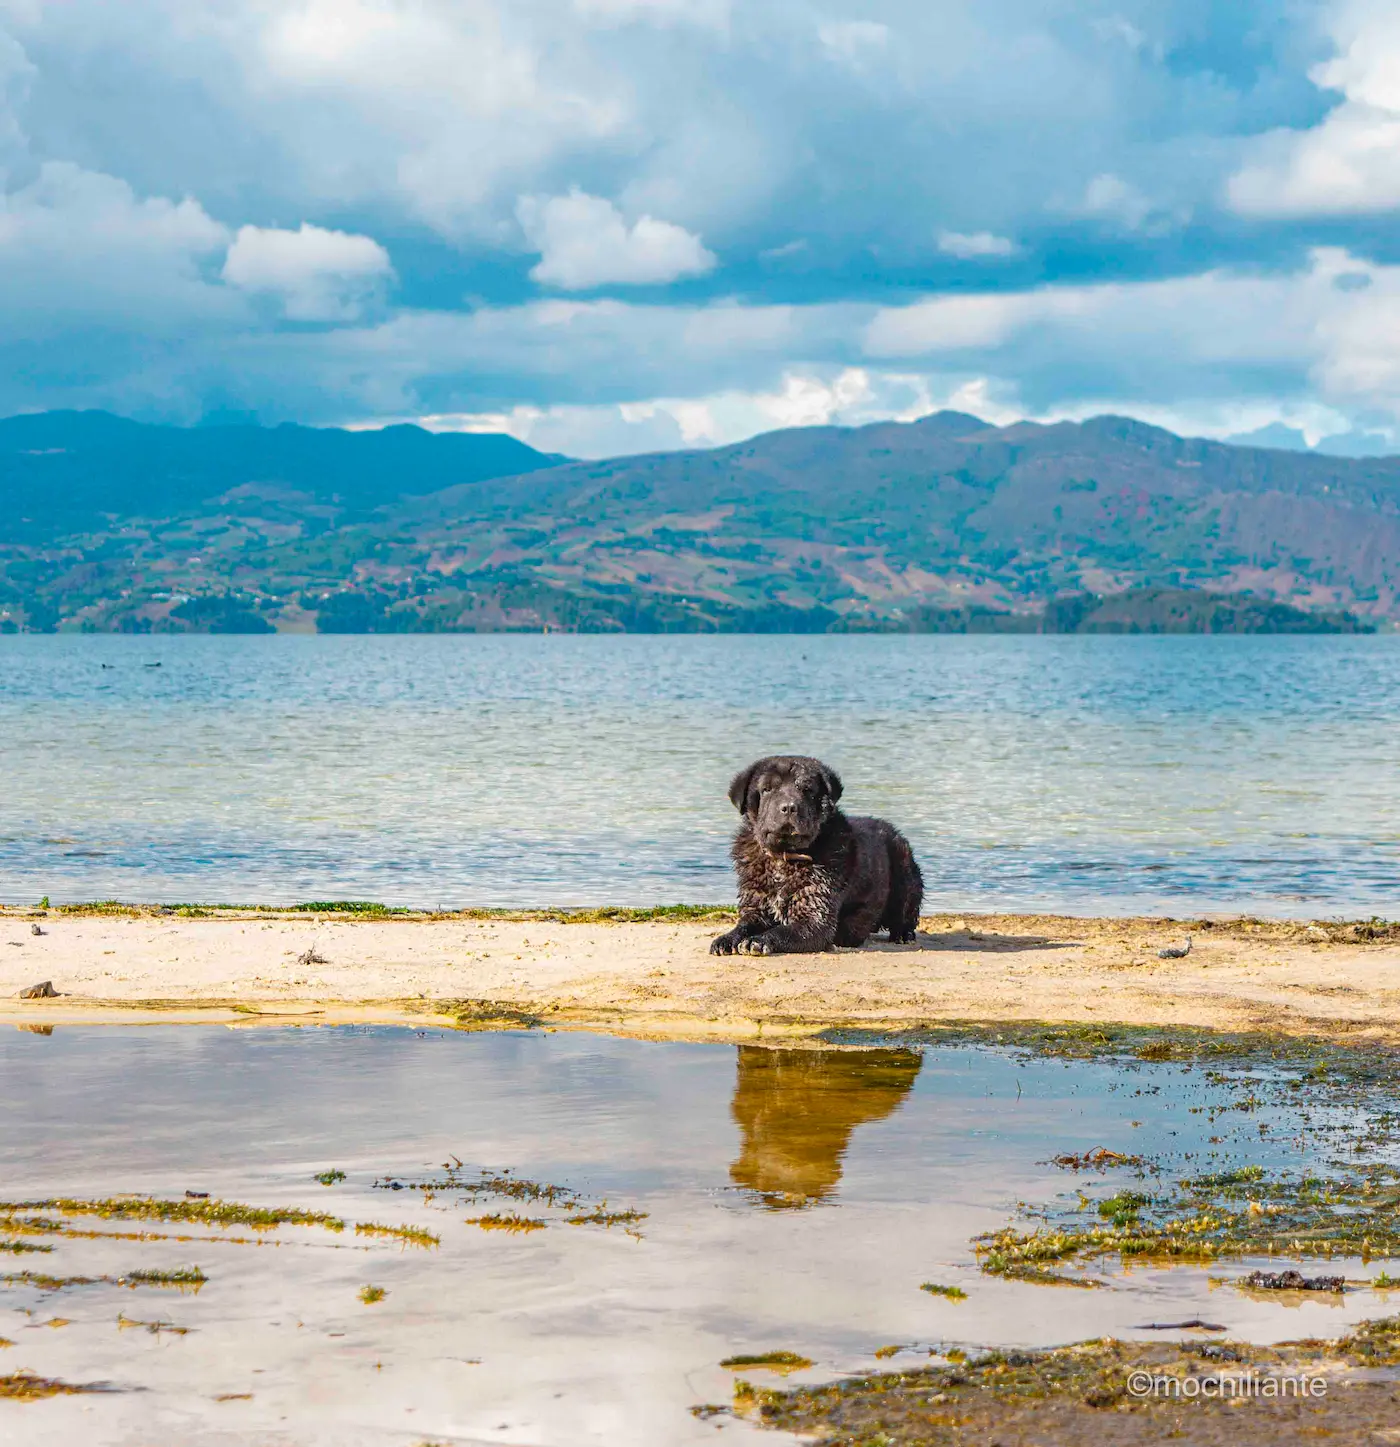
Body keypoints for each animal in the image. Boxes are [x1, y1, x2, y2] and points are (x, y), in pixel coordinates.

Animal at [711, 752, 919, 955]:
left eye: (807, 789)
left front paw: (758, 940)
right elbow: (743, 925)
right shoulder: (756, 907)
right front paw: (726, 939)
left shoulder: (814, 917)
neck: (783, 858)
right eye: (767, 789)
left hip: (904, 872)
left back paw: (902, 933)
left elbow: (781, 931)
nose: (789, 807)